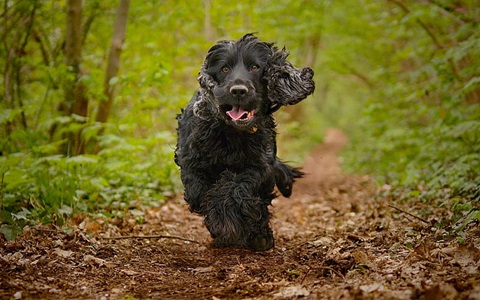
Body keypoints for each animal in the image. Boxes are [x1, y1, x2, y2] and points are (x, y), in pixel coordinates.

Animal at [174, 34, 314, 251]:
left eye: (255, 67)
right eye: (224, 69)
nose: (238, 91)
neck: (233, 133)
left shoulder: (259, 166)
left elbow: (236, 187)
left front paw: (231, 221)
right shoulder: (192, 163)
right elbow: (199, 192)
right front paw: (222, 224)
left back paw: (260, 236)